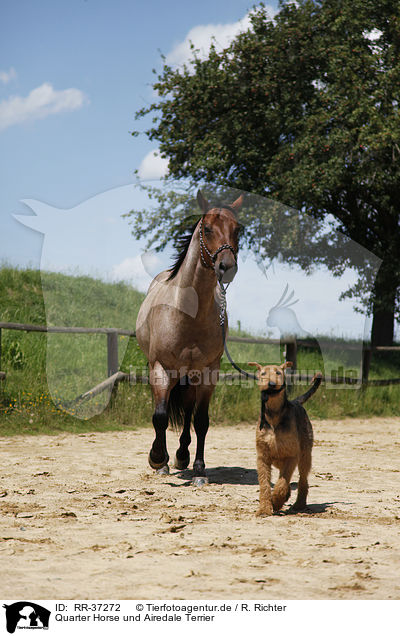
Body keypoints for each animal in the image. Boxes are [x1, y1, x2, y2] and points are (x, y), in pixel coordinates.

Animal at [134, 191, 242, 484]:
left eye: (238, 230)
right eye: (207, 229)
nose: (227, 267)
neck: (188, 313)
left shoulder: (208, 372)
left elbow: (201, 420)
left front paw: (199, 470)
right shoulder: (160, 369)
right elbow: (159, 416)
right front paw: (157, 459)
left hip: (191, 377)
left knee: (188, 411)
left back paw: (182, 456)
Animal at [250, 360, 322, 516]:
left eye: (278, 372)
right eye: (263, 373)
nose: (271, 384)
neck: (274, 414)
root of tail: (296, 401)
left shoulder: (291, 455)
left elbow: (282, 483)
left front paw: (276, 501)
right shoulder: (263, 456)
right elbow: (265, 484)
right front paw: (264, 508)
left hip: (305, 455)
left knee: (302, 480)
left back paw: (299, 504)